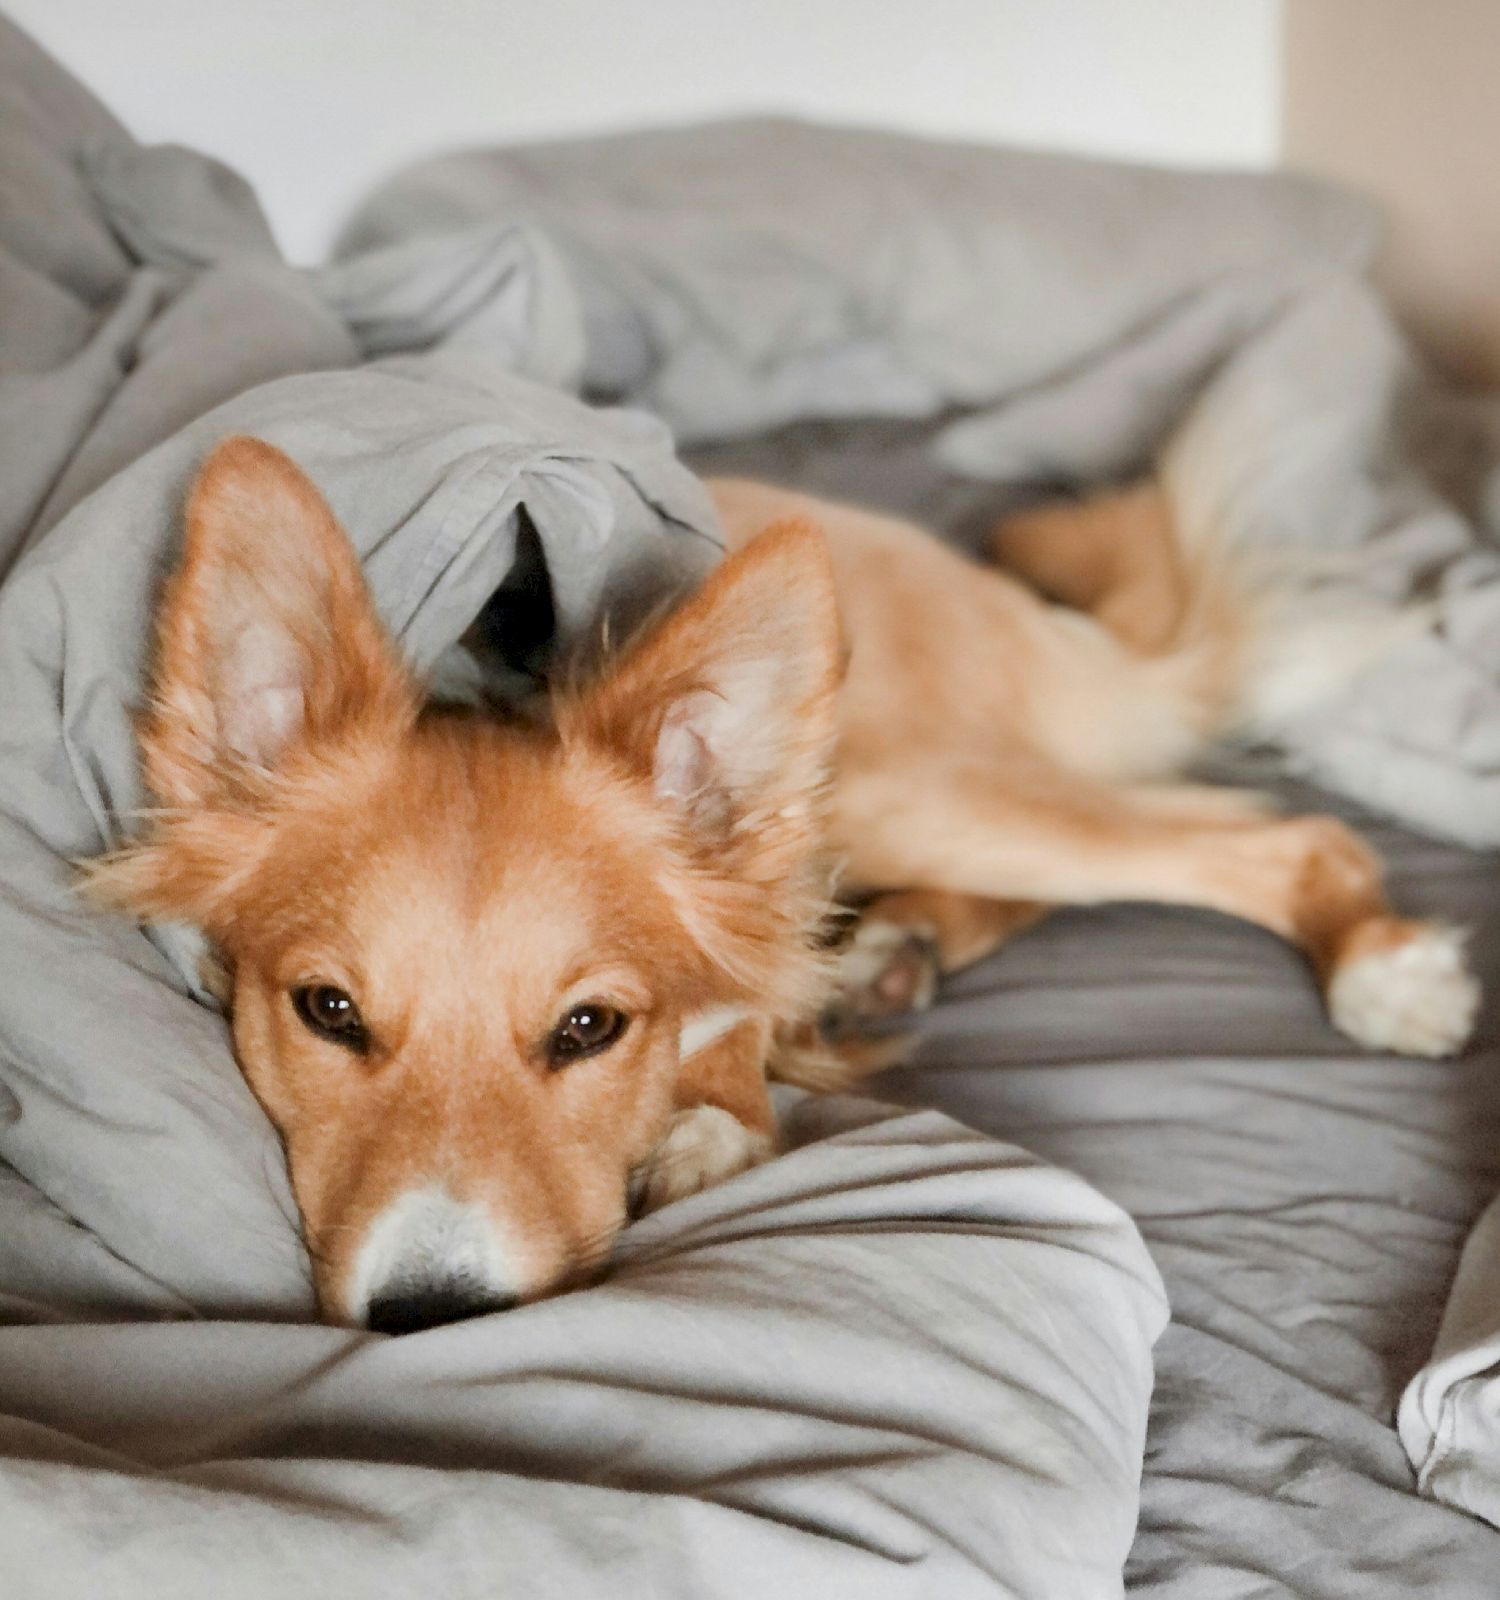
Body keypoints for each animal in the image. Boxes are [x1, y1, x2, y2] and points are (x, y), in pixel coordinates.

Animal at [87, 435, 1477, 1324]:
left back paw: (1385, 968)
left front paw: (712, 1115)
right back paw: (891, 957)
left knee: (1281, 835)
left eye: (588, 1028)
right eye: (328, 1012)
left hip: (901, 782)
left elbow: (741, 992)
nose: (431, 1314)